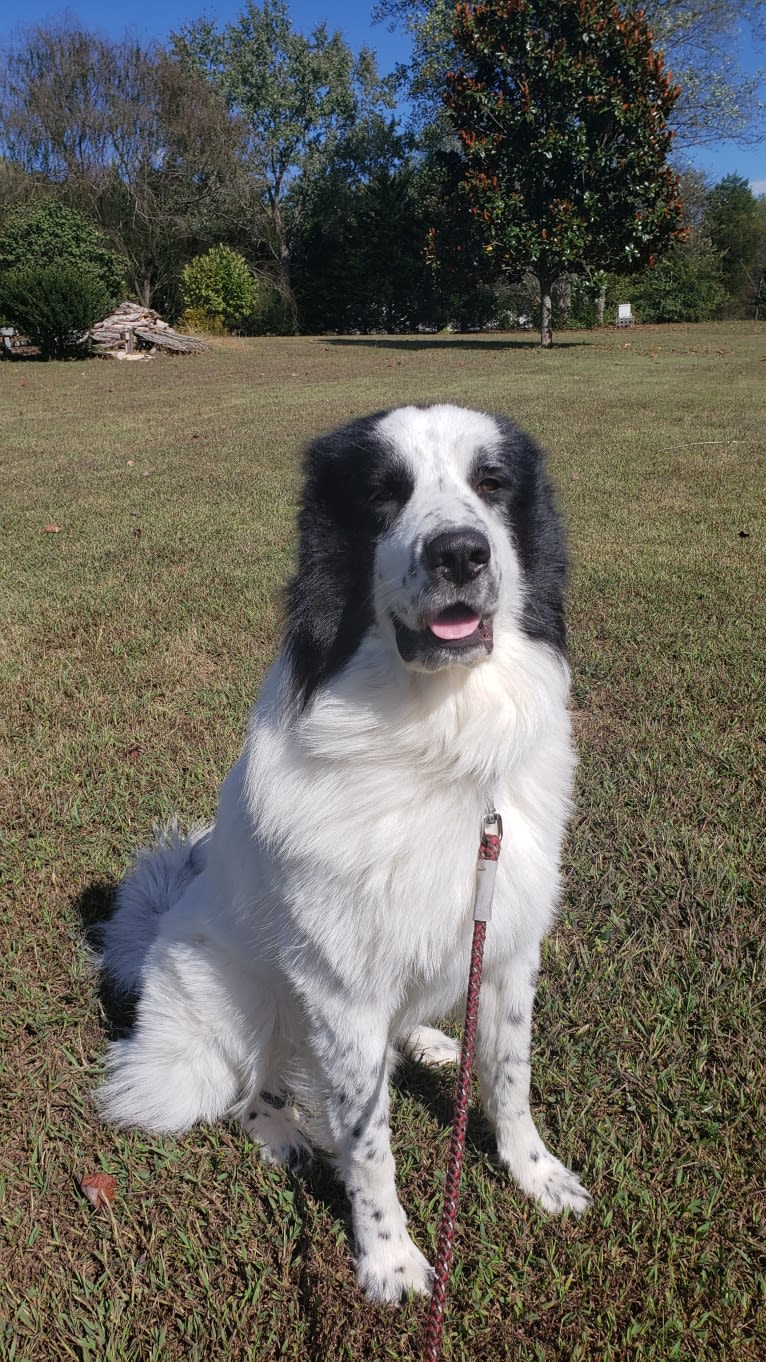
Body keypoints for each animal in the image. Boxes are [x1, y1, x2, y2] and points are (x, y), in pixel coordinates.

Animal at [98, 400, 586, 1296]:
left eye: (492, 483)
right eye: (383, 496)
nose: (460, 552)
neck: (437, 739)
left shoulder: (505, 946)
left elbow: (510, 1076)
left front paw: (535, 1174)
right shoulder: (339, 991)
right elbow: (367, 1141)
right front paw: (389, 1258)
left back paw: (427, 1041)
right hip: (239, 1000)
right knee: (251, 1091)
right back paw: (287, 1135)